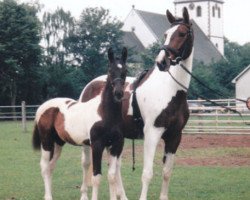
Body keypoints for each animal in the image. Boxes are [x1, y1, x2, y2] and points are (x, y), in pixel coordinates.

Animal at [32, 47, 128, 200]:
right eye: (110, 70)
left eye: (125, 70)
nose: (118, 93)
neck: (105, 114)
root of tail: (42, 107)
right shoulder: (97, 145)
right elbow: (96, 176)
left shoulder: (115, 145)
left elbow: (112, 176)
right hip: (46, 142)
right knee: (45, 167)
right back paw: (48, 196)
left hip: (58, 143)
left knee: (51, 166)